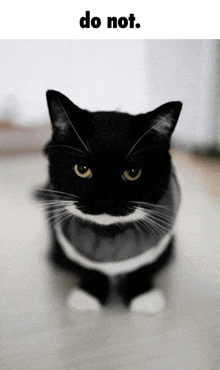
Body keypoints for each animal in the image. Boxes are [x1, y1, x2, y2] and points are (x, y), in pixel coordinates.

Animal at [41, 89, 182, 312]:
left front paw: (142, 294)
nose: (105, 199)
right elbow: (87, 265)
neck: (109, 235)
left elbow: (143, 266)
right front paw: (89, 294)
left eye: (133, 173)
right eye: (82, 169)